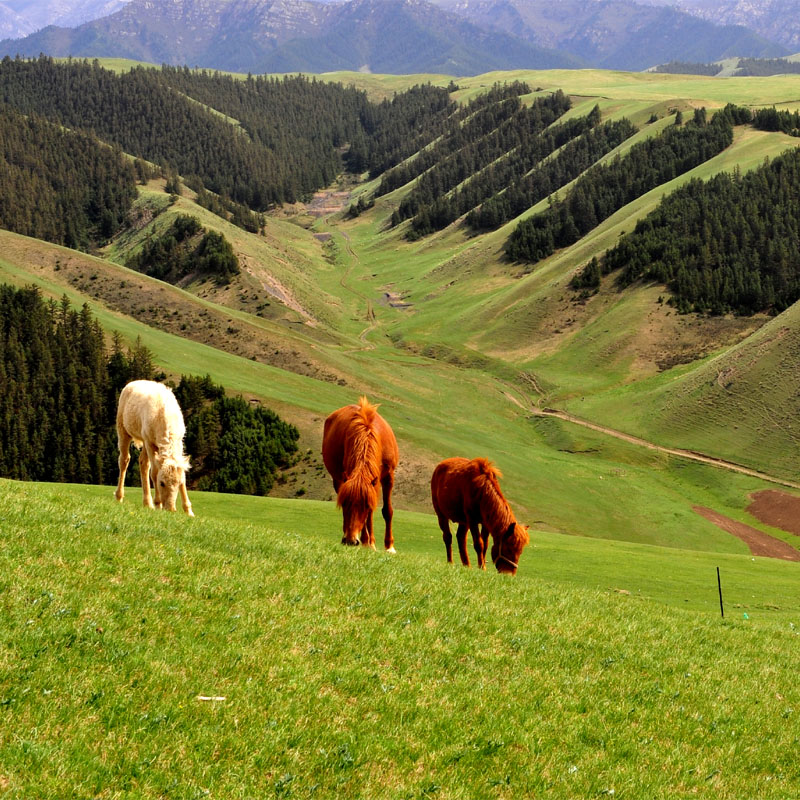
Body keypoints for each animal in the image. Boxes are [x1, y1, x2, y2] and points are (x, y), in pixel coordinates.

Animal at [115, 382, 195, 520]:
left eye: (178, 484)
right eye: (161, 483)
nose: (171, 509)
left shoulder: (179, 443)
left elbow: (182, 475)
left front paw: (188, 511)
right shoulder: (149, 442)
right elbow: (154, 472)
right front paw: (158, 504)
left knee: (142, 463)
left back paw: (147, 503)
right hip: (123, 430)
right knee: (124, 460)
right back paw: (120, 497)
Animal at [322, 398, 400, 552]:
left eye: (365, 505)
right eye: (344, 503)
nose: (350, 540)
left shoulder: (388, 477)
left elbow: (387, 511)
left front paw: (389, 546)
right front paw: (365, 540)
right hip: (338, 480)